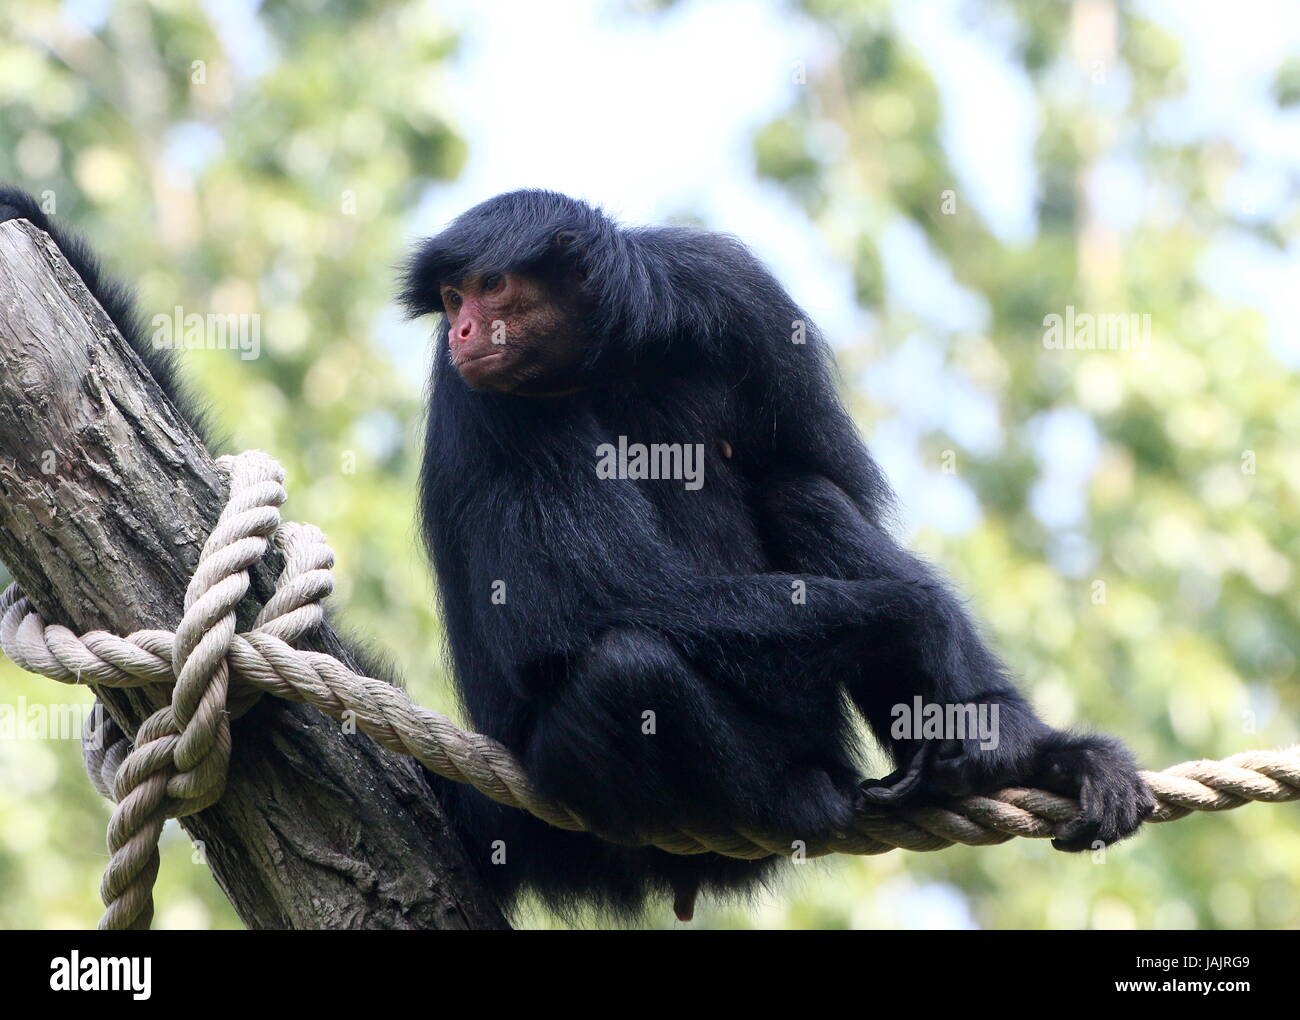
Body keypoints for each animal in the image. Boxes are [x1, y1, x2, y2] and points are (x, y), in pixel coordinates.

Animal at [5, 184, 1154, 925]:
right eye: (454, 300)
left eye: (492, 288)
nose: (467, 328)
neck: (616, 357)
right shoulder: (484, 400)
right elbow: (582, 612)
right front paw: (927, 635)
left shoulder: (734, 293)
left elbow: (831, 487)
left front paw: (1022, 741)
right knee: (627, 667)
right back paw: (798, 798)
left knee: (797, 491)